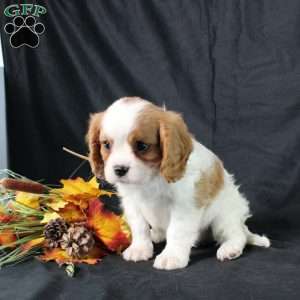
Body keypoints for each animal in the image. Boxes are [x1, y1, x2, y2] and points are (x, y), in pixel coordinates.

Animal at [86, 97, 270, 270]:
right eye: (106, 145)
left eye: (142, 146)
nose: (119, 169)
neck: (150, 177)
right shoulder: (132, 202)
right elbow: (139, 227)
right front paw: (140, 248)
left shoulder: (184, 205)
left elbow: (177, 231)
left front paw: (171, 256)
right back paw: (157, 234)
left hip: (223, 218)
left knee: (237, 235)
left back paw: (230, 248)